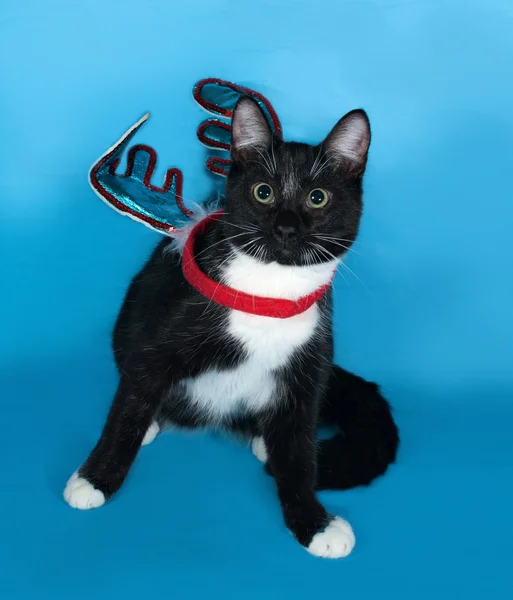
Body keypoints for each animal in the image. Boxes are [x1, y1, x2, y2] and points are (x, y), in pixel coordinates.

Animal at [64, 96, 398, 560]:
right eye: (263, 192)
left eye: (317, 198)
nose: (286, 228)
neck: (270, 295)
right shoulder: (158, 341)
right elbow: (128, 408)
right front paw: (95, 479)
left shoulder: (309, 363)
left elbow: (299, 452)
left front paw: (314, 522)